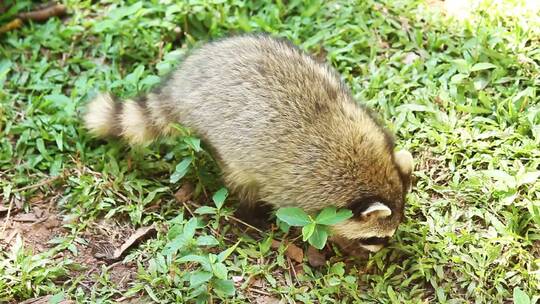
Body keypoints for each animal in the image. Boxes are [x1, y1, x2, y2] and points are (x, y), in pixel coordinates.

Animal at [83, 33, 414, 253]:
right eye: (374, 238)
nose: (381, 253)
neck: (369, 171)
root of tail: (182, 86)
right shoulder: (299, 190)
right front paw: (339, 244)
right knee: (240, 178)